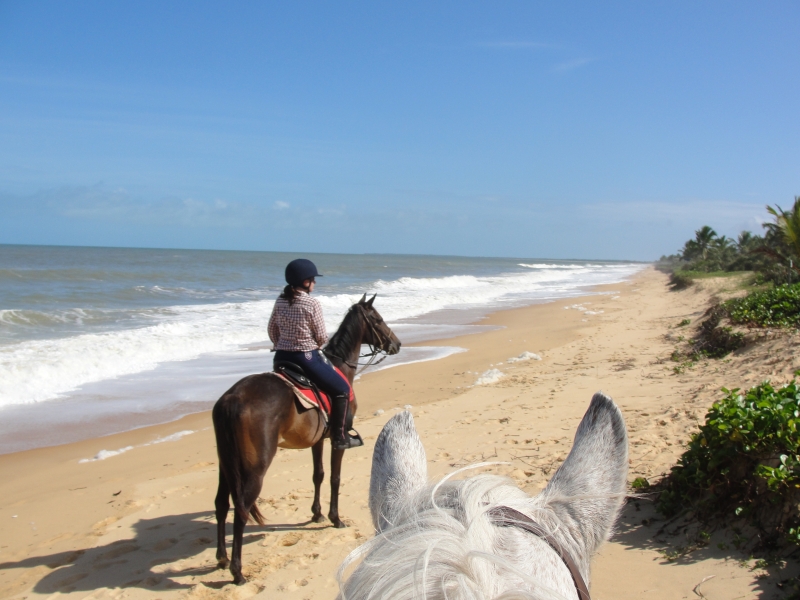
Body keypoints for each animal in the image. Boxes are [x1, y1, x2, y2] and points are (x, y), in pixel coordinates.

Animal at [211, 292, 400, 584]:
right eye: (378, 319)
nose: (397, 344)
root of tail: (232, 398)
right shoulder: (336, 439)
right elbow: (334, 478)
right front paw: (334, 518)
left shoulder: (317, 440)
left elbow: (318, 475)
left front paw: (317, 513)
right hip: (255, 467)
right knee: (241, 510)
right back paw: (237, 571)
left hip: (226, 463)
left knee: (221, 504)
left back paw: (221, 557)